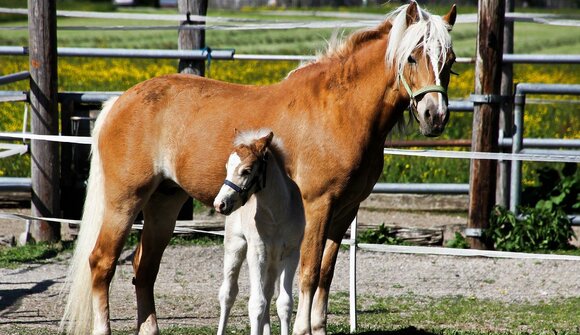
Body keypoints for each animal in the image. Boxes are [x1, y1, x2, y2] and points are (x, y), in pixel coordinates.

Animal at [61, 3, 456, 335]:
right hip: (124, 201)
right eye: (412, 57)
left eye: (449, 60)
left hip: (165, 203)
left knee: (144, 269)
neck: (341, 109)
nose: (435, 117)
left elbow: (326, 275)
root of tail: (119, 101)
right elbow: (308, 274)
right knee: (102, 263)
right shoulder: (318, 206)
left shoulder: (345, 211)